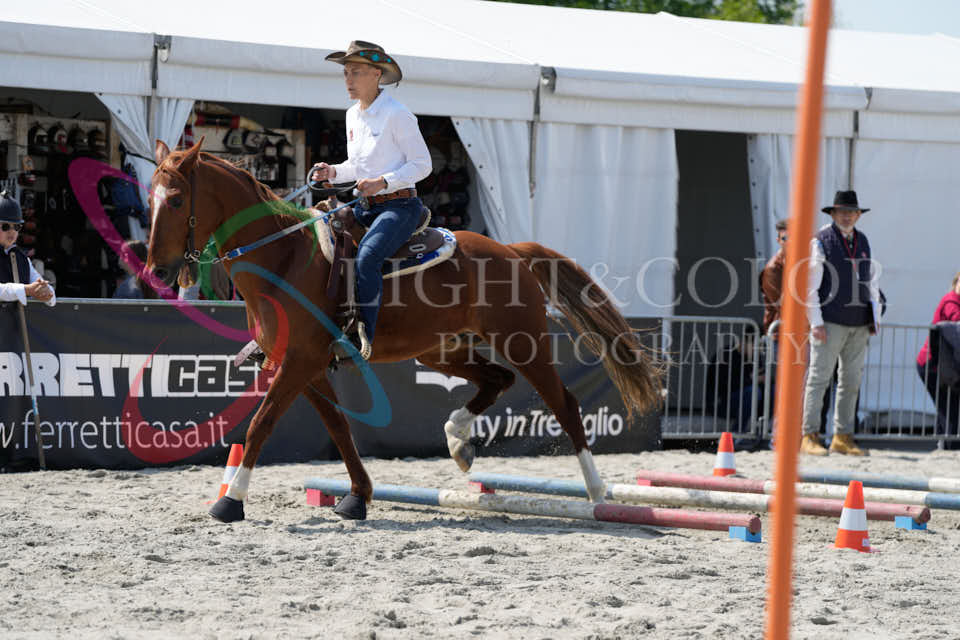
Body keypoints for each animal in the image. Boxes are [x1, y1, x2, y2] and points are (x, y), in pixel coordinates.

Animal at [146, 138, 662, 523]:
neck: (285, 258)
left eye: (176, 199)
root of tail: (512, 251)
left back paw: (598, 495)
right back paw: (457, 441)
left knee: (565, 405)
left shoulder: (298, 363)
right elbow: (339, 429)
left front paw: (230, 501)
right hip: (439, 350)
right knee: (497, 379)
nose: (157, 269)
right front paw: (358, 496)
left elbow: (261, 424)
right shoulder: (306, 366)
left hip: (524, 343)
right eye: (150, 197)